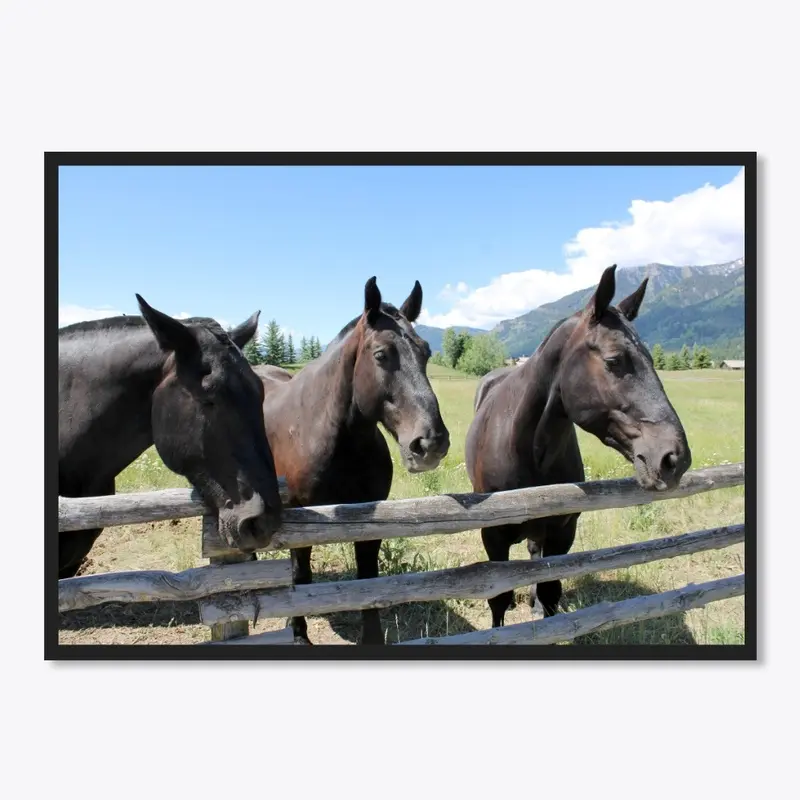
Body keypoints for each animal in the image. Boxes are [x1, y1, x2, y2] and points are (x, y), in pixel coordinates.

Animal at [256, 276, 450, 644]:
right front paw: (298, 633)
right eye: (381, 354)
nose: (430, 442)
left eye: (426, 352)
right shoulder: (299, 525)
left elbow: (367, 581)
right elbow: (300, 578)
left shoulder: (369, 521)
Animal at [466, 266, 692, 628]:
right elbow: (498, 598)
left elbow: (549, 590)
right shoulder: (493, 536)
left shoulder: (562, 531)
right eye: (614, 360)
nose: (674, 457)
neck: (526, 450)